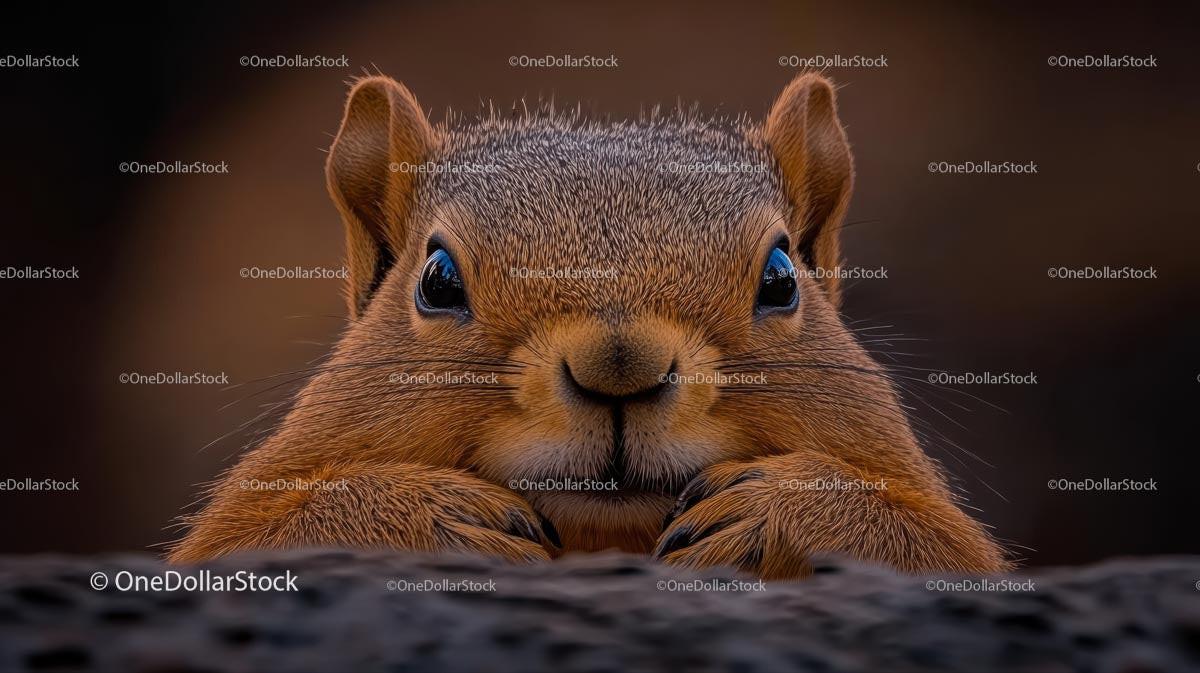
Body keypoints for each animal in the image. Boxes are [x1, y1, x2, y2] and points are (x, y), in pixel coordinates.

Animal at [168, 73, 1011, 579]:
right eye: (437, 280)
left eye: (780, 278)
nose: (619, 367)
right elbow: (251, 543)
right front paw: (428, 515)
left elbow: (938, 550)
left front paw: (783, 509)